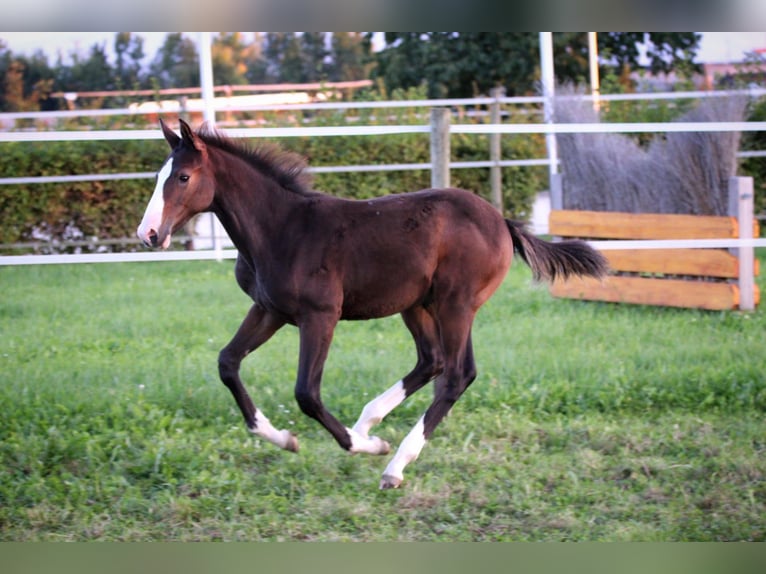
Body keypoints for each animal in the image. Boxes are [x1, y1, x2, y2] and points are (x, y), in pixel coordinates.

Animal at [137, 119, 608, 489]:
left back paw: (393, 462)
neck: (281, 229)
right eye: (160, 176)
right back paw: (369, 421)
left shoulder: (320, 316)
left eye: (183, 177)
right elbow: (227, 363)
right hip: (419, 305)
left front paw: (362, 446)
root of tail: (502, 221)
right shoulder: (269, 310)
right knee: (433, 361)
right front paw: (284, 438)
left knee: (456, 374)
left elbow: (307, 393)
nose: (148, 234)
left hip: (456, 304)